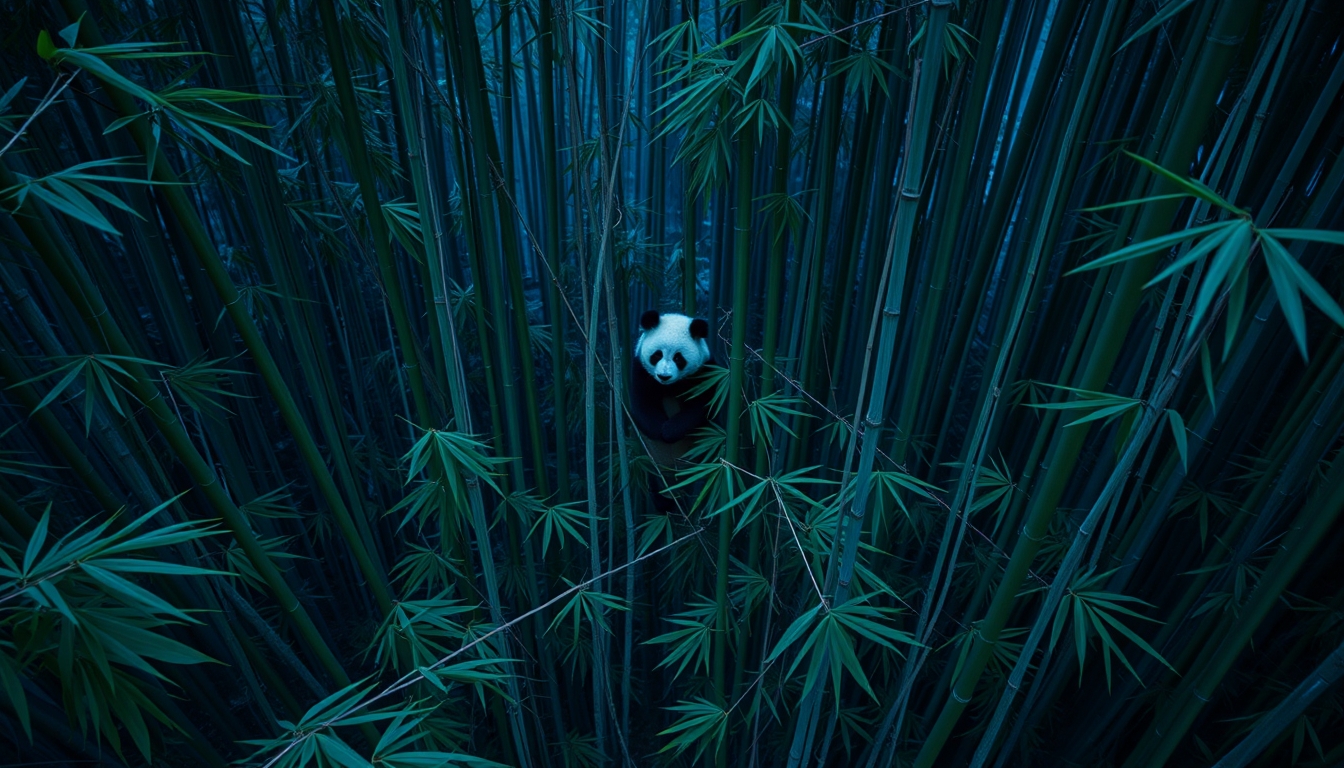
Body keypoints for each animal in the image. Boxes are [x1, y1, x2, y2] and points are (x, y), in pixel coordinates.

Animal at [630, 310, 718, 512]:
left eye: (679, 358)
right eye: (657, 355)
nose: (664, 376)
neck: (670, 387)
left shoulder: (705, 374)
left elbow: (700, 409)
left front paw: (669, 431)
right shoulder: (641, 371)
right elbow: (641, 405)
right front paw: (659, 431)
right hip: (652, 470)